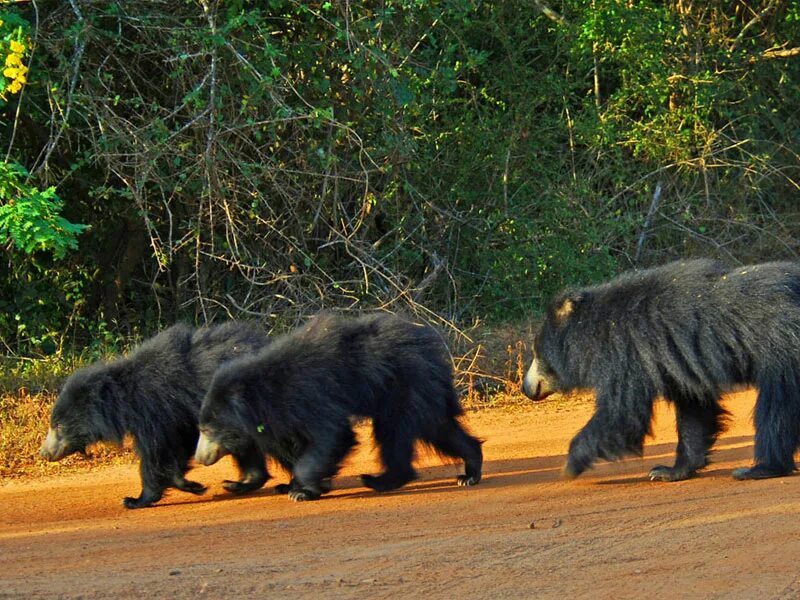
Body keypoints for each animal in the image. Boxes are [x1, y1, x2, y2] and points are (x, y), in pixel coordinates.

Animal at [39, 322, 272, 508]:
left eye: (58, 426)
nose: (44, 453)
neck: (124, 398)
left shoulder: (155, 410)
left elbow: (156, 452)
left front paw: (135, 500)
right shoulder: (177, 417)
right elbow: (179, 446)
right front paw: (190, 484)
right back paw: (239, 484)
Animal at [194, 312, 482, 500]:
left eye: (207, 431)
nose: (199, 458)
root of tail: (431, 349)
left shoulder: (312, 397)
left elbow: (333, 436)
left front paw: (303, 491)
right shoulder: (285, 415)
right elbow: (297, 444)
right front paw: (289, 486)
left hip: (405, 386)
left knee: (395, 433)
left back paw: (379, 480)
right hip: (420, 389)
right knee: (439, 427)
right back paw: (469, 471)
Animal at [520, 260, 800, 480]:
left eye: (537, 353)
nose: (526, 388)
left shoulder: (626, 354)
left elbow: (621, 414)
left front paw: (569, 465)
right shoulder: (680, 366)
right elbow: (694, 412)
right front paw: (669, 471)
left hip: (781, 350)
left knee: (776, 408)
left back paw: (759, 469)